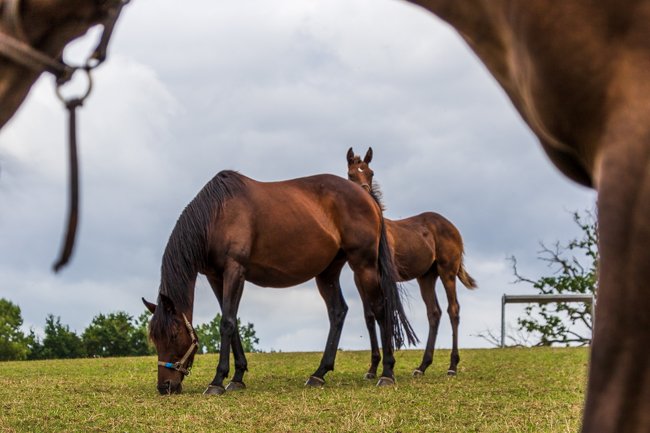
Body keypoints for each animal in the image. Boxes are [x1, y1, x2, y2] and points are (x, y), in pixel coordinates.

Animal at [142, 170, 417, 395]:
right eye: (154, 338)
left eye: (174, 335)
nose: (165, 387)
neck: (216, 215)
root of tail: (367, 197)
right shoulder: (215, 276)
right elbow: (233, 323)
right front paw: (237, 377)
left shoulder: (235, 270)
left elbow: (227, 323)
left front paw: (217, 381)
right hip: (327, 272)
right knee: (338, 311)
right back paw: (319, 374)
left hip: (364, 264)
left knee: (380, 309)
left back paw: (387, 373)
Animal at [346, 147, 477, 378]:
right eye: (351, 174)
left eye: (371, 173)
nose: (364, 194)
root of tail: (452, 227)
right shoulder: (359, 278)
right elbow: (369, 316)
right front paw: (372, 368)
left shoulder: (382, 278)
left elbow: (386, 313)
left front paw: (387, 367)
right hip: (426, 277)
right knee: (434, 313)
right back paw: (422, 366)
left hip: (447, 272)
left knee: (453, 310)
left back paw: (452, 366)